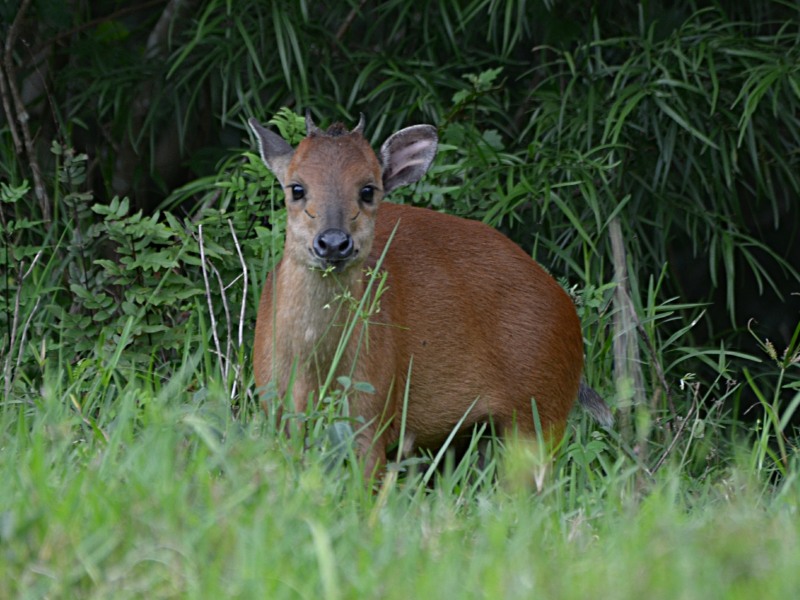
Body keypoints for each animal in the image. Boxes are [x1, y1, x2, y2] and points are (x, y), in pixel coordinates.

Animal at [250, 110, 612, 480]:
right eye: (296, 188)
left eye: (368, 190)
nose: (334, 242)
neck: (313, 367)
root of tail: (566, 307)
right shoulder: (275, 408)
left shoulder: (373, 411)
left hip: (541, 407)